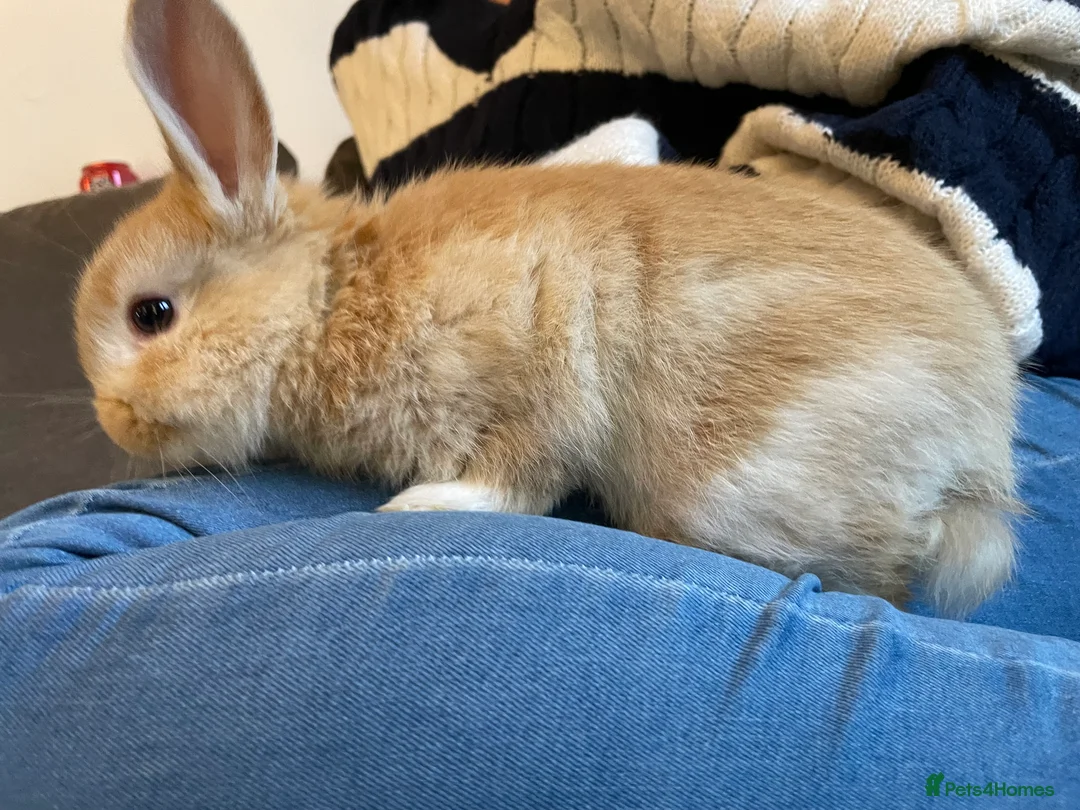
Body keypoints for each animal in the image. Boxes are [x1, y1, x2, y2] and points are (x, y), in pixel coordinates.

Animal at [75, 0, 1019, 616]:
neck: (328, 301)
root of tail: (979, 455)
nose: (116, 423)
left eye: (151, 315)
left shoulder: (537, 368)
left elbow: (520, 480)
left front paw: (421, 508)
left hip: (729, 481)